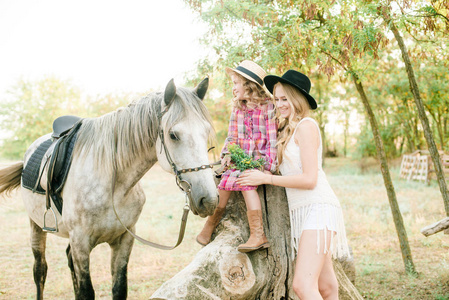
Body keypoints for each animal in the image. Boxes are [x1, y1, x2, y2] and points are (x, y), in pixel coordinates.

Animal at [0, 78, 218, 300]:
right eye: (173, 135)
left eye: (206, 132)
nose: (208, 200)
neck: (113, 185)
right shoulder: (81, 243)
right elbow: (87, 292)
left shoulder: (124, 239)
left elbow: (119, 288)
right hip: (36, 226)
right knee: (40, 270)